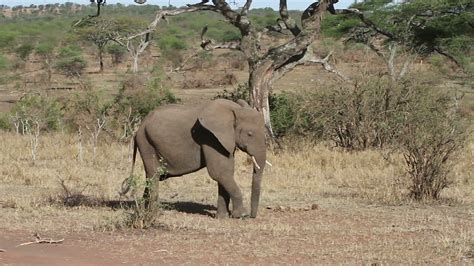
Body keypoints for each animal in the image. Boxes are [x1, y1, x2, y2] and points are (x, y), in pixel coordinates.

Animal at [130, 97, 266, 218]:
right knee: (154, 175)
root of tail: (139, 128)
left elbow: (225, 172)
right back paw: (154, 215)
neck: (234, 109)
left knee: (151, 177)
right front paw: (241, 215)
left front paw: (222, 217)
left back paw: (144, 212)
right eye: (250, 134)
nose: (252, 216)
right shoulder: (209, 137)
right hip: (146, 143)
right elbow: (219, 172)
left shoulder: (221, 140)